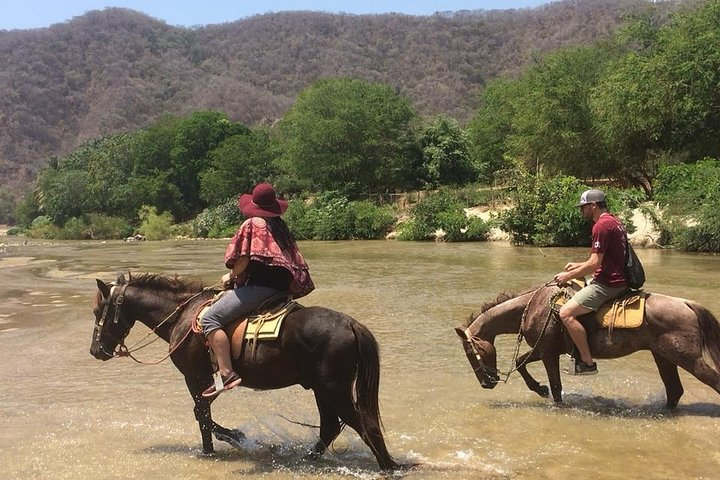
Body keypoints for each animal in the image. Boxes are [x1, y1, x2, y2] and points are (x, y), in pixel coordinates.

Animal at [89, 273, 400, 471]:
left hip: (333, 388)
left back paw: (388, 466)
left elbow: (201, 415)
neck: (182, 317)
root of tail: (350, 324)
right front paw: (235, 437)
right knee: (330, 426)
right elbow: (203, 413)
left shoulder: (195, 378)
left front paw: (215, 448)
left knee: (364, 424)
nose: (95, 350)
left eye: (96, 311)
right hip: (322, 389)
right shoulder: (207, 382)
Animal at [454, 282, 720, 408]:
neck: (532, 307)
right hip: (663, 357)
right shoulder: (543, 349)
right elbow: (521, 363)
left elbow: (556, 386)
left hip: (688, 358)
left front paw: (549, 395)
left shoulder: (548, 352)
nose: (486, 383)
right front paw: (539, 389)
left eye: (471, 352)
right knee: (674, 391)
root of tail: (686, 303)